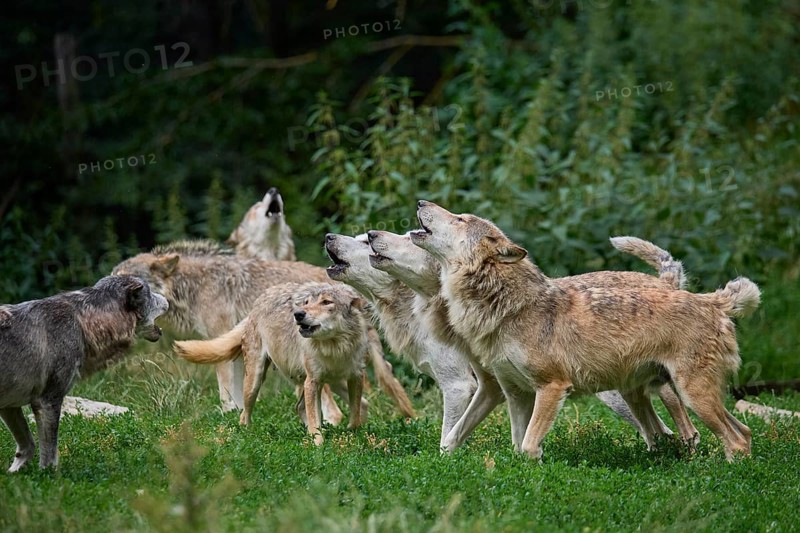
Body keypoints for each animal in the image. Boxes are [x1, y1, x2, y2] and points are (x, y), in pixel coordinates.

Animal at [0, 275, 168, 472]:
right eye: (151, 294)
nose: (168, 299)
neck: (81, 322)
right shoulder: (48, 400)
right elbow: (49, 455)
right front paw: (48, 475)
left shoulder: (9, 406)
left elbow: (27, 445)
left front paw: (14, 473)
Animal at [112, 240, 414, 419]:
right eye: (112, 278)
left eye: (133, 284)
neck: (194, 286)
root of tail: (353, 293)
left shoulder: (220, 340)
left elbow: (225, 393)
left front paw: (229, 416)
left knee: (336, 413)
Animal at [175, 283, 369, 445]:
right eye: (306, 302)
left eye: (327, 302)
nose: (298, 314)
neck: (336, 347)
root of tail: (261, 299)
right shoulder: (313, 381)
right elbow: (316, 422)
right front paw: (318, 447)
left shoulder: (356, 377)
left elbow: (355, 414)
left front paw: (352, 435)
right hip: (255, 382)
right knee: (244, 415)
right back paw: (247, 436)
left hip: (332, 383)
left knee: (301, 407)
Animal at [367, 229, 697, 451]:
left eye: (406, 237)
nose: (371, 233)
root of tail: (665, 282)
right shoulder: (494, 386)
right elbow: (454, 438)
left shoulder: (464, 386)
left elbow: (449, 433)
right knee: (659, 430)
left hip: (626, 390)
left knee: (678, 424)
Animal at [412, 200, 759, 460]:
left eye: (459, 218)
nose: (420, 201)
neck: (507, 306)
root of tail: (711, 301)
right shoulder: (515, 394)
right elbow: (515, 447)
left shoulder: (552, 387)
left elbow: (528, 446)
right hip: (652, 394)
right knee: (736, 432)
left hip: (692, 396)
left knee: (734, 438)